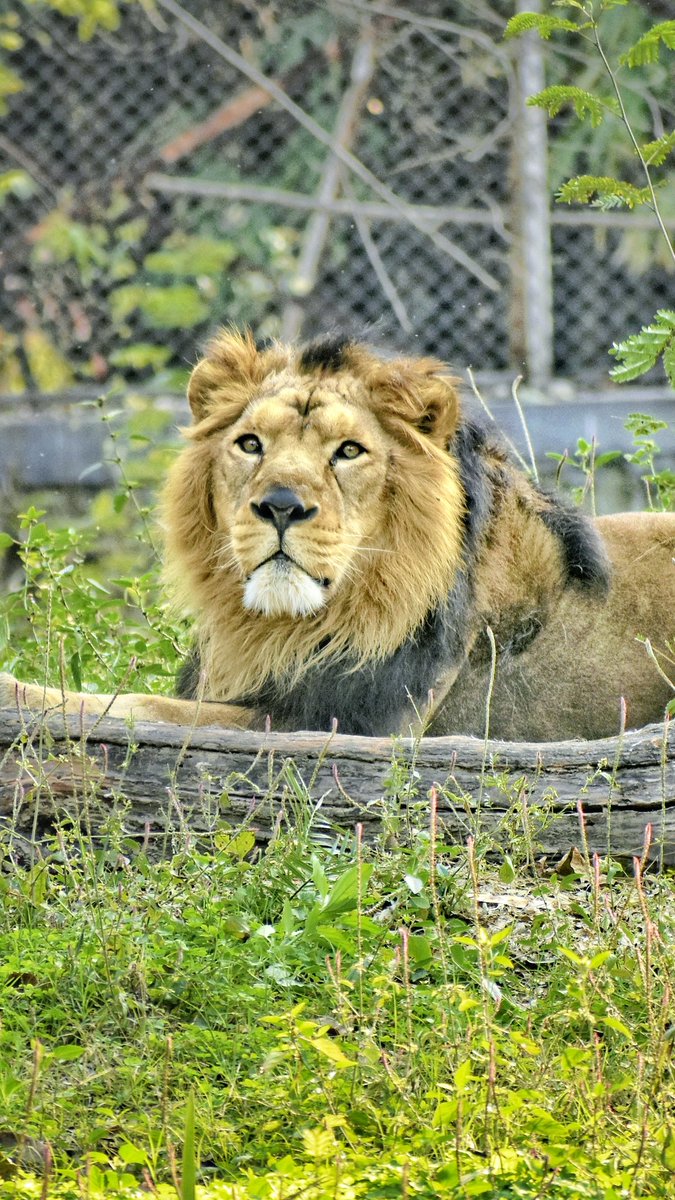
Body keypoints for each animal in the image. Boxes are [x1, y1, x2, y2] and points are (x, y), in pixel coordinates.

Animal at [1, 328, 672, 739]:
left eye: (349, 451)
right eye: (251, 444)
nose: (280, 506)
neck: (277, 629)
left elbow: (141, 707)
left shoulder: (347, 726)